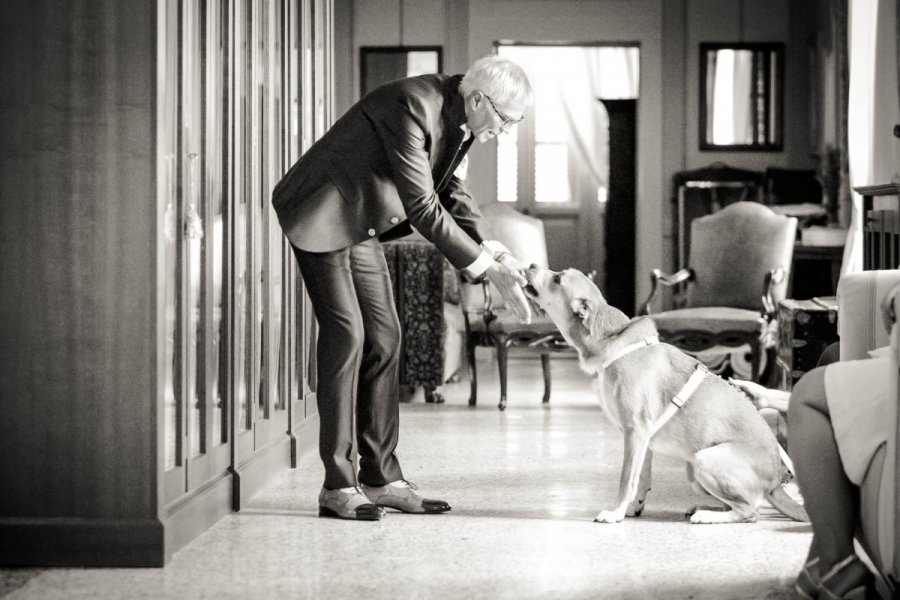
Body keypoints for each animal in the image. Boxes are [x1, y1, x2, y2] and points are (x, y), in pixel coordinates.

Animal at [520, 264, 808, 524]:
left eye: (558, 279)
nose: (531, 265)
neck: (614, 343)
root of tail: (776, 482)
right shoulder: (643, 439)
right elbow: (641, 477)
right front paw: (632, 508)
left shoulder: (635, 431)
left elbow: (626, 479)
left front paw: (615, 513)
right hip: (695, 470)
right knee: (739, 505)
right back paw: (708, 508)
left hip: (704, 460)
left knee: (750, 511)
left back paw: (707, 516)